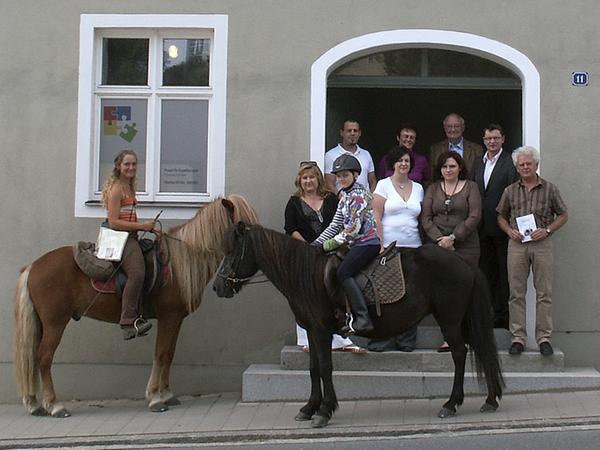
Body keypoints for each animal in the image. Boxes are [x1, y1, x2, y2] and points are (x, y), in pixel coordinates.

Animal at [14, 196, 258, 418]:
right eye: (241, 226)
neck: (179, 264)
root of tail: (33, 266)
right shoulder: (169, 317)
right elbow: (161, 353)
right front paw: (155, 398)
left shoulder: (176, 319)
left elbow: (169, 354)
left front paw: (167, 394)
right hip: (55, 322)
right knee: (44, 357)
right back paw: (55, 405)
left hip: (42, 323)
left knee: (32, 357)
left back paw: (35, 404)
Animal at [213, 223, 504, 428]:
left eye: (232, 251)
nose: (217, 286)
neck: (308, 274)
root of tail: (464, 263)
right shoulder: (312, 331)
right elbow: (313, 369)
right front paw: (308, 408)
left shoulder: (321, 331)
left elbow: (325, 368)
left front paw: (324, 411)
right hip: (461, 320)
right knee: (479, 350)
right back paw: (489, 400)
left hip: (450, 320)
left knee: (459, 354)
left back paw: (451, 404)